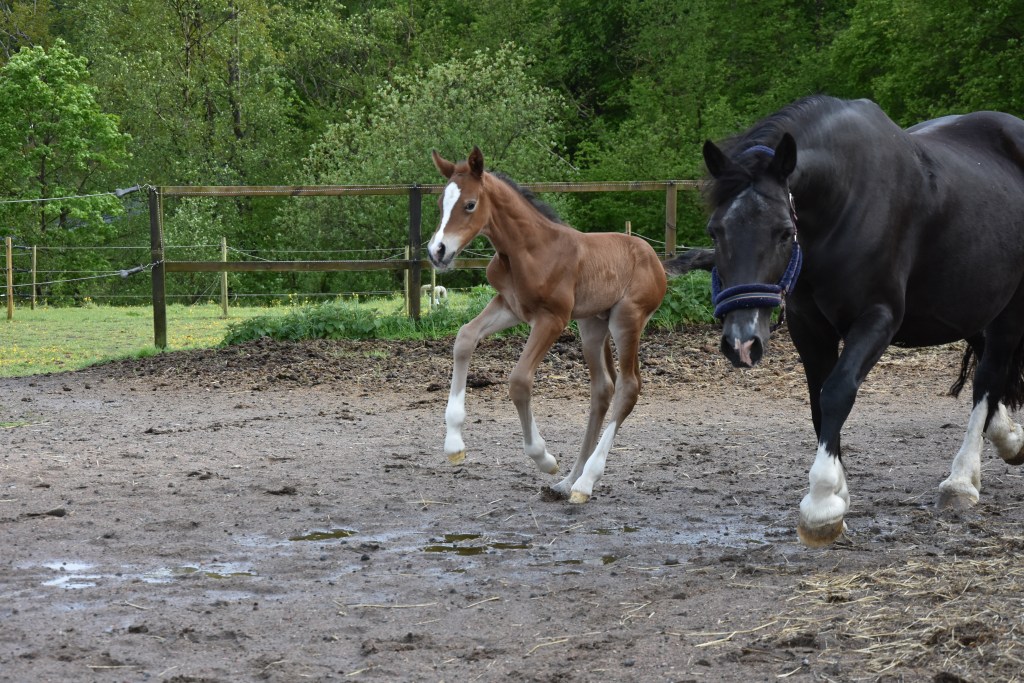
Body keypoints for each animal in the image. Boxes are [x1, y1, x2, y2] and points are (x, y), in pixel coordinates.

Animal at [427, 147, 667, 503]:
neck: (528, 250)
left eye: (469, 204)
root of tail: (655, 259)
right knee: (603, 389)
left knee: (628, 388)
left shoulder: (552, 318)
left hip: (627, 319)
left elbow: (519, 381)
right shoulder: (509, 306)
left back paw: (584, 482)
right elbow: (464, 338)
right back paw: (568, 482)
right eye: (441, 203)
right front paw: (454, 443)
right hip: (592, 325)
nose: (437, 251)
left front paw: (544, 457)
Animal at [666, 95, 1024, 546]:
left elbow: (837, 392)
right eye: (716, 231)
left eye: (783, 232)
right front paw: (838, 494)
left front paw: (821, 503)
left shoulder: (877, 318)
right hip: (972, 302)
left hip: (1008, 309)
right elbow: (818, 401)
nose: (742, 344)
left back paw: (960, 481)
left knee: (988, 377)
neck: (843, 204)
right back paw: (1007, 439)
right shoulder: (807, 326)